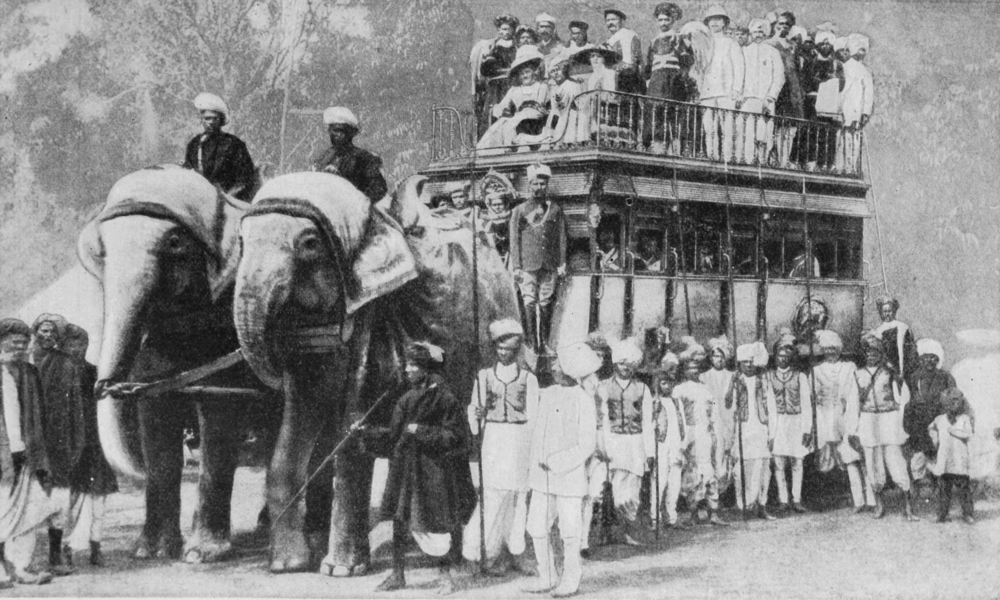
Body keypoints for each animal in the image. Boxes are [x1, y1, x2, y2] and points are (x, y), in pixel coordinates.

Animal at [75, 166, 282, 564]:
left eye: (174, 243)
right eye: (102, 250)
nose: (106, 387)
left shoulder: (229, 328)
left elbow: (219, 418)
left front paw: (202, 554)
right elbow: (155, 421)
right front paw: (150, 551)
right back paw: (267, 523)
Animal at [230, 171, 520, 576]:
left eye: (309, 244)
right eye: (240, 242)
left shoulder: (372, 324)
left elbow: (352, 436)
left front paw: (339, 570)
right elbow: (292, 431)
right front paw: (287, 565)